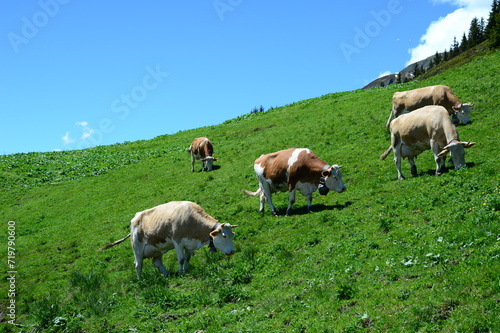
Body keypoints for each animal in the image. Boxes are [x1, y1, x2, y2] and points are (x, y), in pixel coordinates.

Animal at [99, 200, 238, 278]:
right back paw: (140, 280)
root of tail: (135, 219)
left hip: (156, 249)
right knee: (138, 265)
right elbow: (181, 259)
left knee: (157, 262)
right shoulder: (177, 241)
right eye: (224, 236)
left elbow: (187, 258)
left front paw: (186, 269)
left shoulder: (190, 244)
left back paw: (166, 274)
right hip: (137, 248)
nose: (232, 251)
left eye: (232, 235)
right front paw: (181, 272)